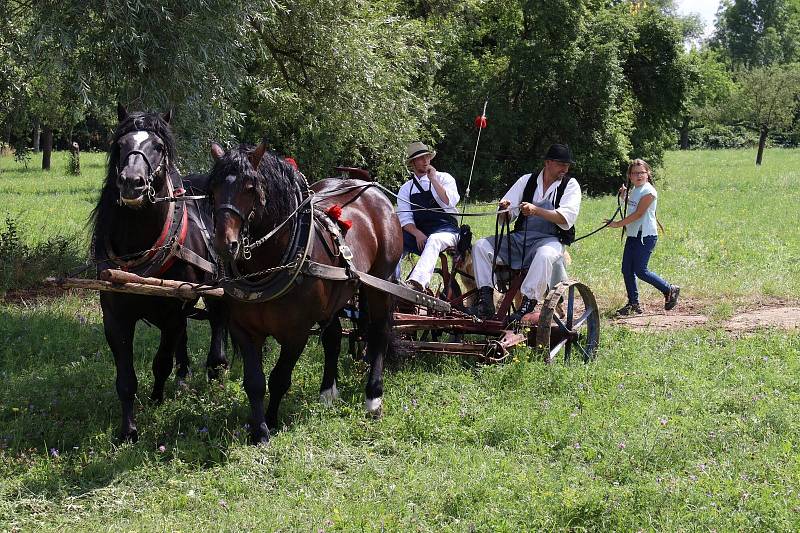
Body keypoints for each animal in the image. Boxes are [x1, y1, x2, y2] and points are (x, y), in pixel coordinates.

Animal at [91, 105, 230, 440]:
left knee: (218, 323)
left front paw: (156, 398)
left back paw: (216, 369)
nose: (132, 182)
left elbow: (161, 362)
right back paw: (185, 374)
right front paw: (128, 430)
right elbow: (126, 379)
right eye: (120, 145)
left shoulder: (172, 314)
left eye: (159, 147)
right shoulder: (115, 317)